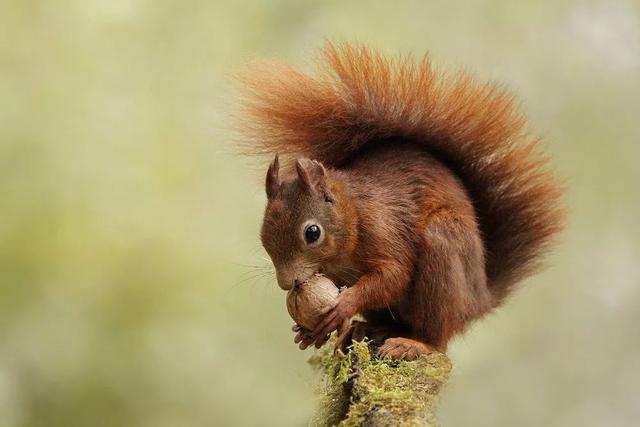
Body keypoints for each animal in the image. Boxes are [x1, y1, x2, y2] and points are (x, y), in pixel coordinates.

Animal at [236, 43, 564, 360]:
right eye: (263, 236)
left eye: (312, 233)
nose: (286, 283)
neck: (353, 214)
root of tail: (478, 299)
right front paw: (308, 332)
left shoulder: (384, 227)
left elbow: (394, 274)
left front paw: (345, 305)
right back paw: (368, 329)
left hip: (444, 247)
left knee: (438, 339)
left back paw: (415, 345)